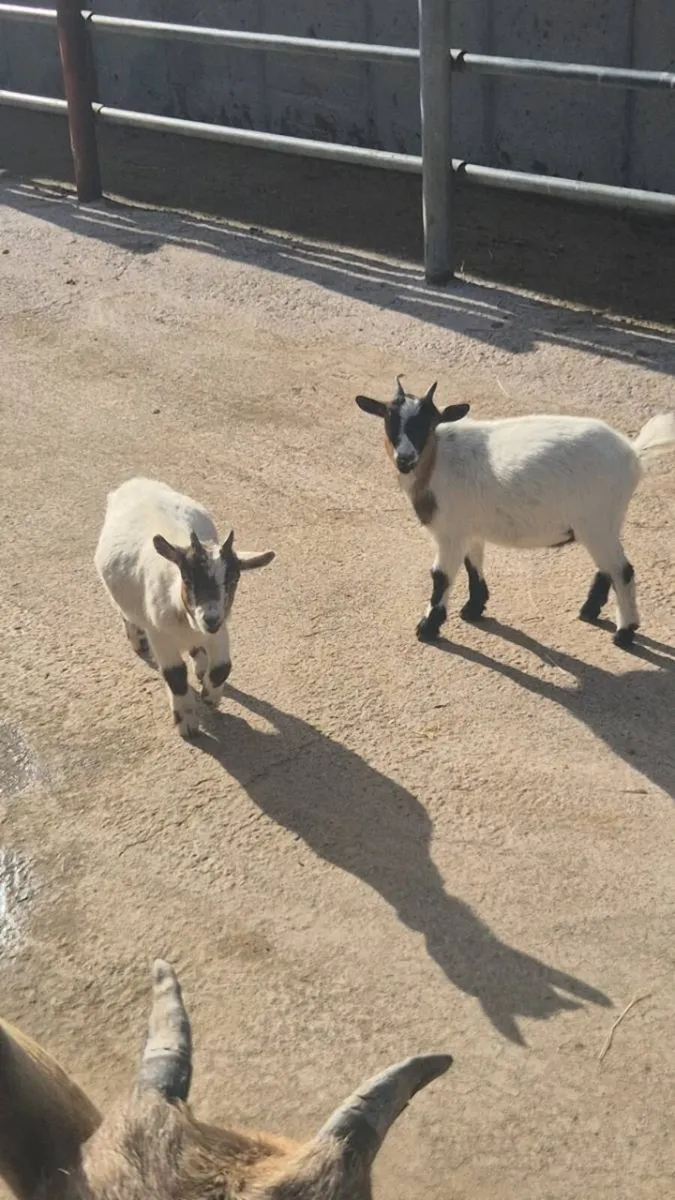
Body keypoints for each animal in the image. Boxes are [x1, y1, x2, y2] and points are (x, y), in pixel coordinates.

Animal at [94, 477, 275, 736]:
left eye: (234, 580)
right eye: (188, 579)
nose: (210, 618)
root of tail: (136, 481)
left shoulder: (220, 629)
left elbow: (222, 667)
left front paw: (210, 697)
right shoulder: (160, 634)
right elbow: (176, 675)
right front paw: (187, 723)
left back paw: (200, 665)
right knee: (126, 614)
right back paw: (138, 641)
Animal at [355, 377, 675, 648]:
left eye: (428, 422)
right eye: (389, 419)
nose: (405, 458)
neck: (437, 460)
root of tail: (633, 451)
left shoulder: (450, 531)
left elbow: (441, 577)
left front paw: (428, 628)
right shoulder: (469, 528)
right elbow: (473, 564)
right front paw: (474, 608)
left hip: (597, 520)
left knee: (622, 570)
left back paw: (625, 633)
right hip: (602, 522)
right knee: (607, 567)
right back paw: (589, 611)